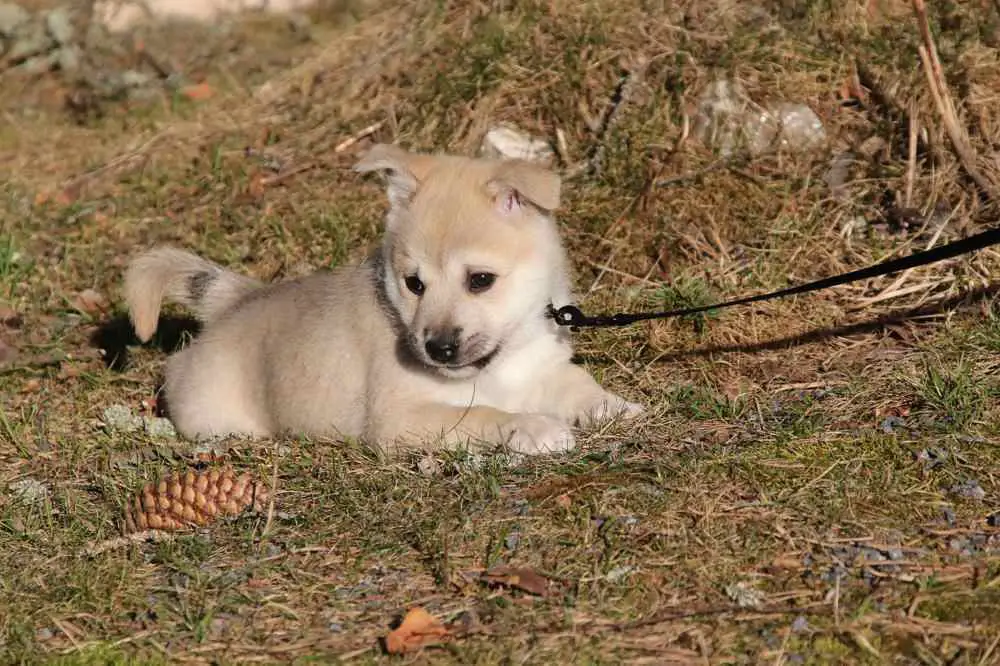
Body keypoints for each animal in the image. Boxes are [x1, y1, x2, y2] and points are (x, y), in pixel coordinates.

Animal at [123, 143, 640, 454]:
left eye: (480, 280)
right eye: (414, 284)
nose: (437, 349)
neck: (499, 365)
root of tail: (237, 302)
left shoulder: (545, 369)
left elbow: (581, 386)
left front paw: (615, 407)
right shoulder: (402, 418)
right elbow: (481, 414)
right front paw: (533, 427)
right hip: (216, 417)